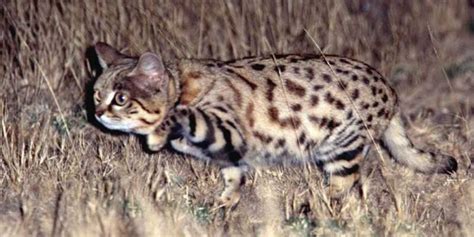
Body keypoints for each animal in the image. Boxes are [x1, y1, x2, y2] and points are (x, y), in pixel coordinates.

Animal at [90, 42, 458, 204]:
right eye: (96, 94)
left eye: (120, 98)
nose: (97, 113)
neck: (182, 86)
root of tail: (391, 91)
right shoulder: (230, 153)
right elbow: (234, 179)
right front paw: (224, 203)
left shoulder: (228, 131)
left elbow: (183, 115)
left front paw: (158, 133)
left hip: (341, 146)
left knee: (345, 183)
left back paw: (314, 207)